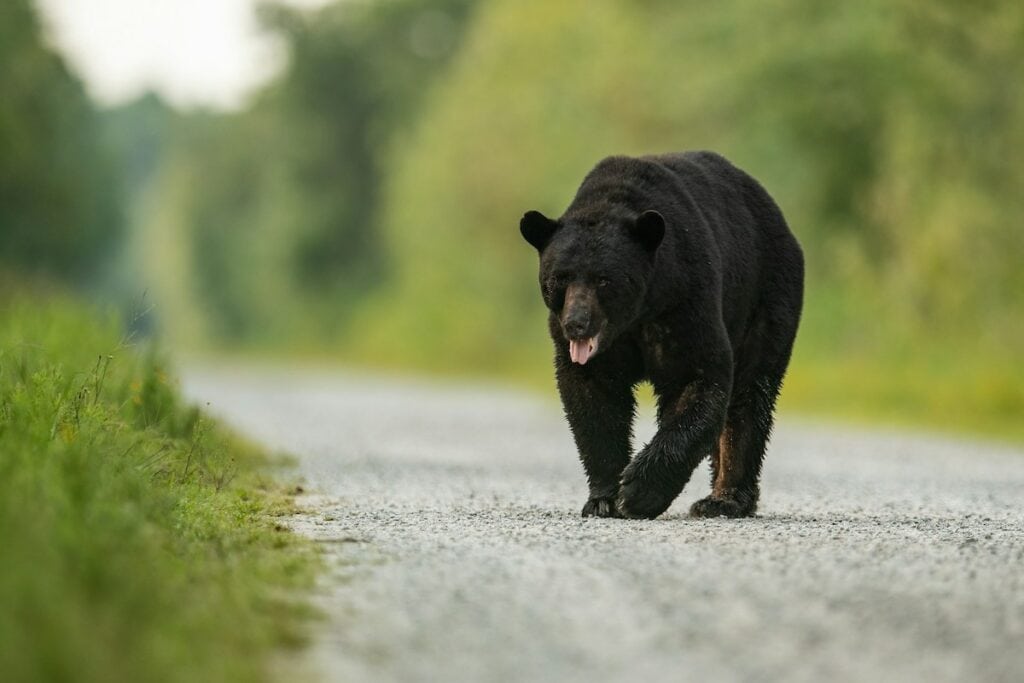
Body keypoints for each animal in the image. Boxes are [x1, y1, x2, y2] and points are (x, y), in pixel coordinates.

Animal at [520, 151, 804, 519]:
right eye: (559, 278)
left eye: (603, 280)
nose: (576, 323)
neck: (635, 316)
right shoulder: (593, 350)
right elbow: (593, 401)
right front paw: (604, 499)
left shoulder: (684, 300)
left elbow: (697, 380)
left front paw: (638, 491)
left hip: (766, 297)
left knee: (750, 394)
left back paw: (724, 499)